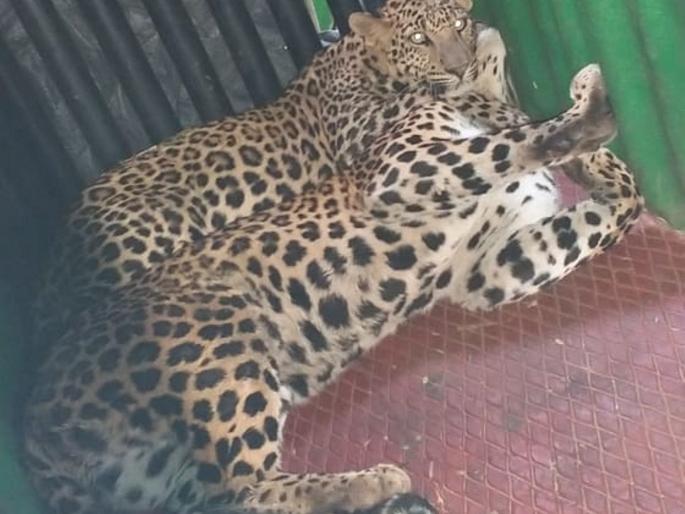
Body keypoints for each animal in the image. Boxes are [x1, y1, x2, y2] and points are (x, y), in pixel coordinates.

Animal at [32, 0, 503, 356]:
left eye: (457, 24)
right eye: (420, 39)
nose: (460, 67)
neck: (359, 58)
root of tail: (54, 267)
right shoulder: (363, 129)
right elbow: (436, 94)